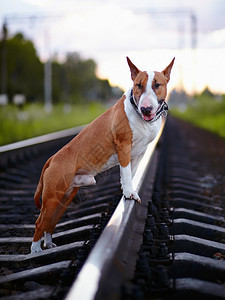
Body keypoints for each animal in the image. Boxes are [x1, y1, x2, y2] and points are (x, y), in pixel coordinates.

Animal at [30, 56, 174, 253]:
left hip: (64, 197)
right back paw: (35, 249)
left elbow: (131, 173)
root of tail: (52, 159)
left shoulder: (140, 152)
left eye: (157, 84)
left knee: (49, 221)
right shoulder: (123, 146)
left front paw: (128, 191)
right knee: (39, 222)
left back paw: (49, 243)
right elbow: (126, 173)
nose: (145, 109)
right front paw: (129, 193)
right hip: (52, 197)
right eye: (138, 85)